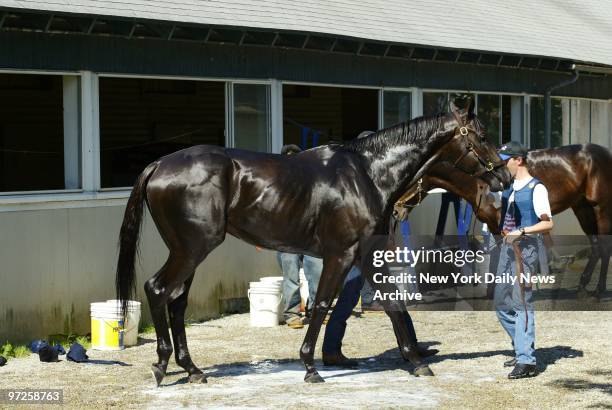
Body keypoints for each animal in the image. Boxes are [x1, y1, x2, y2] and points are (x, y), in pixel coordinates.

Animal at [115, 98, 506, 384]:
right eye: (482, 134)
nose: (502, 177)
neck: (366, 174)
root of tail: (160, 164)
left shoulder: (366, 254)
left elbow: (392, 304)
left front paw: (416, 361)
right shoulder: (341, 254)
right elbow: (321, 304)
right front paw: (310, 366)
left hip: (189, 251)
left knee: (177, 301)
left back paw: (192, 370)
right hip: (191, 249)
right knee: (157, 289)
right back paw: (161, 365)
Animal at [394, 144, 608, 298]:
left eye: (408, 180)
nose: (395, 209)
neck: (482, 181)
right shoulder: (493, 225)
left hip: (600, 209)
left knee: (605, 246)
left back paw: (599, 290)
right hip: (582, 208)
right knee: (596, 246)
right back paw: (583, 286)